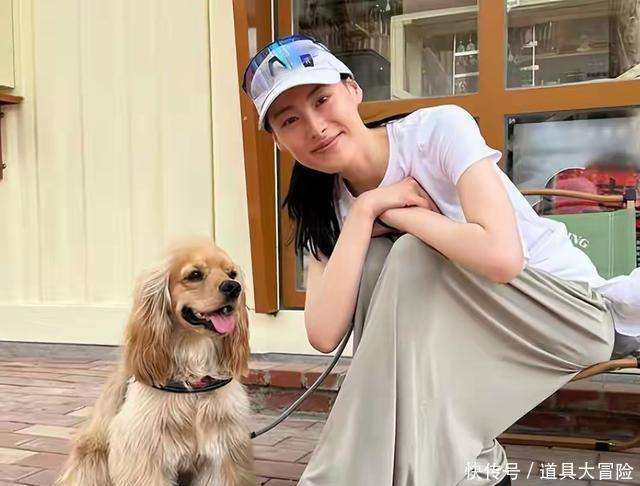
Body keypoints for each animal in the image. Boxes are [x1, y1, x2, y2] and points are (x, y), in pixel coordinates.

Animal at [56, 236, 255, 486]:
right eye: (195, 275)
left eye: (232, 273)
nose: (233, 288)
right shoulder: (146, 455)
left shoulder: (220, 453)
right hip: (91, 459)